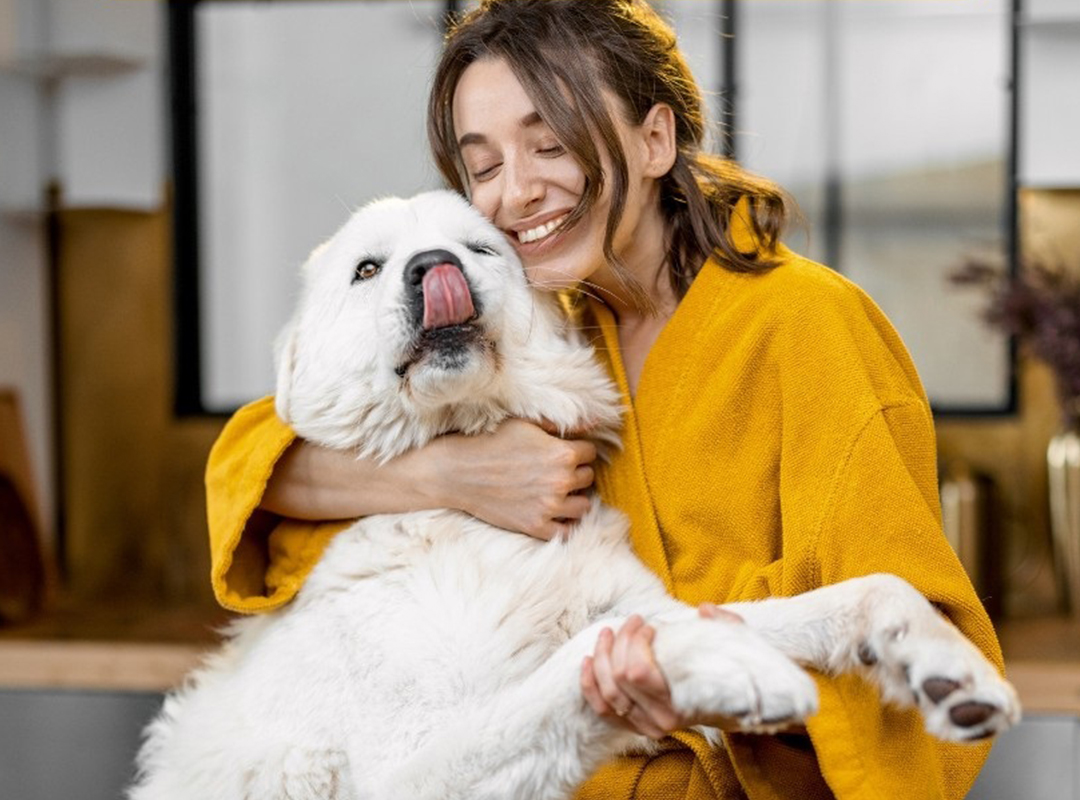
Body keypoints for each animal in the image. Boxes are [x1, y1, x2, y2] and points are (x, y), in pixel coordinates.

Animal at [128, 192, 1019, 798]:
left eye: (480, 248)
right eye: (368, 268)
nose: (433, 269)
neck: (475, 525)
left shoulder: (643, 603)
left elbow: (868, 589)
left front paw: (943, 666)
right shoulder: (408, 767)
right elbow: (589, 653)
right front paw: (734, 667)